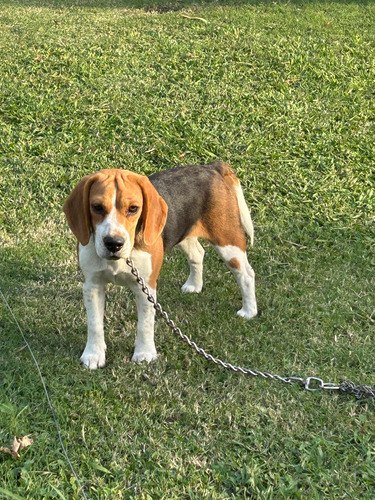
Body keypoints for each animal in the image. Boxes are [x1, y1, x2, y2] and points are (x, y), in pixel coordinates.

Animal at [64, 162, 258, 370]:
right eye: (97, 207)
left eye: (133, 209)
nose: (114, 243)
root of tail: (211, 166)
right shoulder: (92, 285)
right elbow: (94, 324)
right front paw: (93, 354)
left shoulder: (145, 287)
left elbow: (145, 324)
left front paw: (144, 354)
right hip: (184, 235)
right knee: (198, 254)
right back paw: (194, 285)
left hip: (228, 244)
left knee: (247, 274)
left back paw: (249, 311)